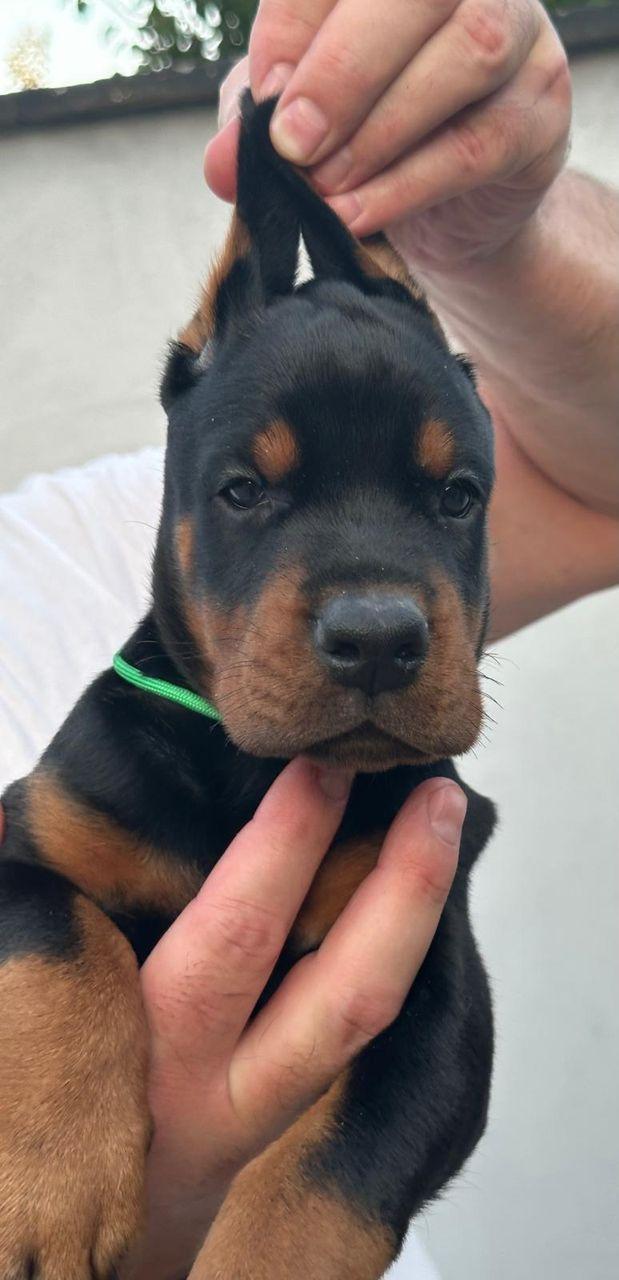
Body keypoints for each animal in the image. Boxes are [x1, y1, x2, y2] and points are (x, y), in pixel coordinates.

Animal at [0, 95, 496, 1278]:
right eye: (242, 491)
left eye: (457, 495)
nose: (378, 639)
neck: (244, 769)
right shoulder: (27, 833)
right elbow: (51, 922)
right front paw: (49, 1181)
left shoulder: (436, 990)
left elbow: (329, 1178)